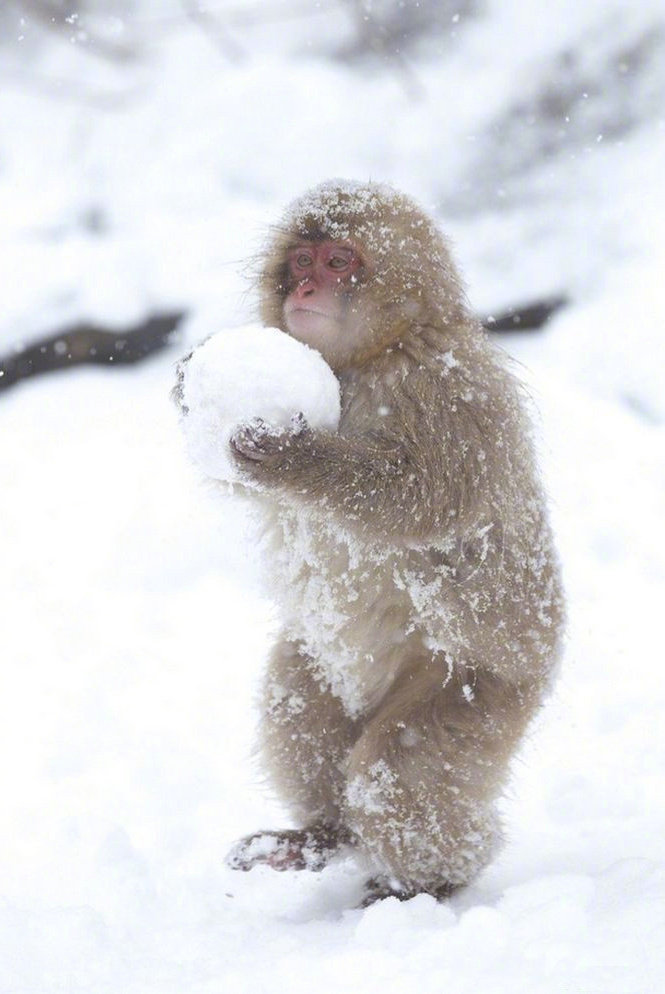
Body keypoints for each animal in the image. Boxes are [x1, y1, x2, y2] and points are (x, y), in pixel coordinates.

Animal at [179, 182, 564, 904]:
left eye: (338, 261)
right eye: (300, 261)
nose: (305, 289)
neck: (368, 358)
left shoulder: (447, 391)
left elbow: (422, 498)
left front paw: (291, 459)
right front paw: (189, 383)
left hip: (481, 689)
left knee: (401, 772)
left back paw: (428, 881)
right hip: (322, 657)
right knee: (298, 706)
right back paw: (319, 835)